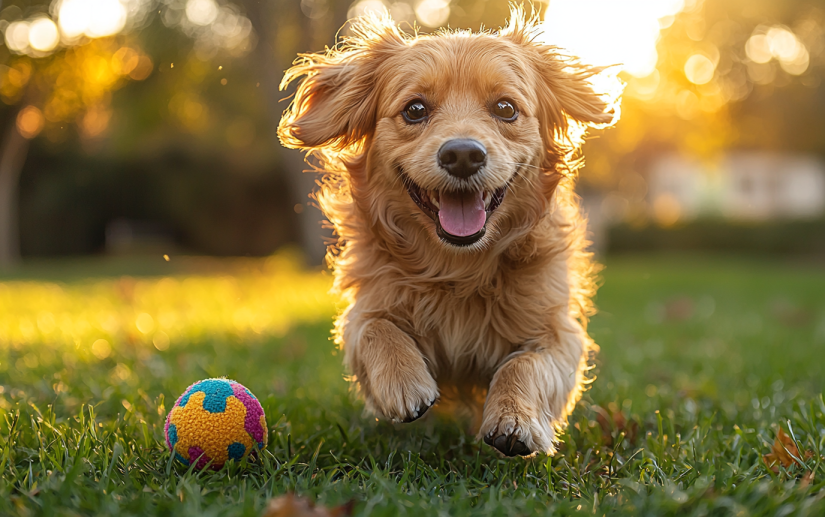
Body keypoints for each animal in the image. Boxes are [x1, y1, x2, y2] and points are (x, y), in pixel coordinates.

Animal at [276, 6, 616, 454]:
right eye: (415, 110)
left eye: (506, 108)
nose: (463, 154)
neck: (457, 267)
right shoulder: (364, 307)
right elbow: (374, 328)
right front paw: (403, 382)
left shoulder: (559, 332)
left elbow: (526, 364)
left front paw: (515, 417)